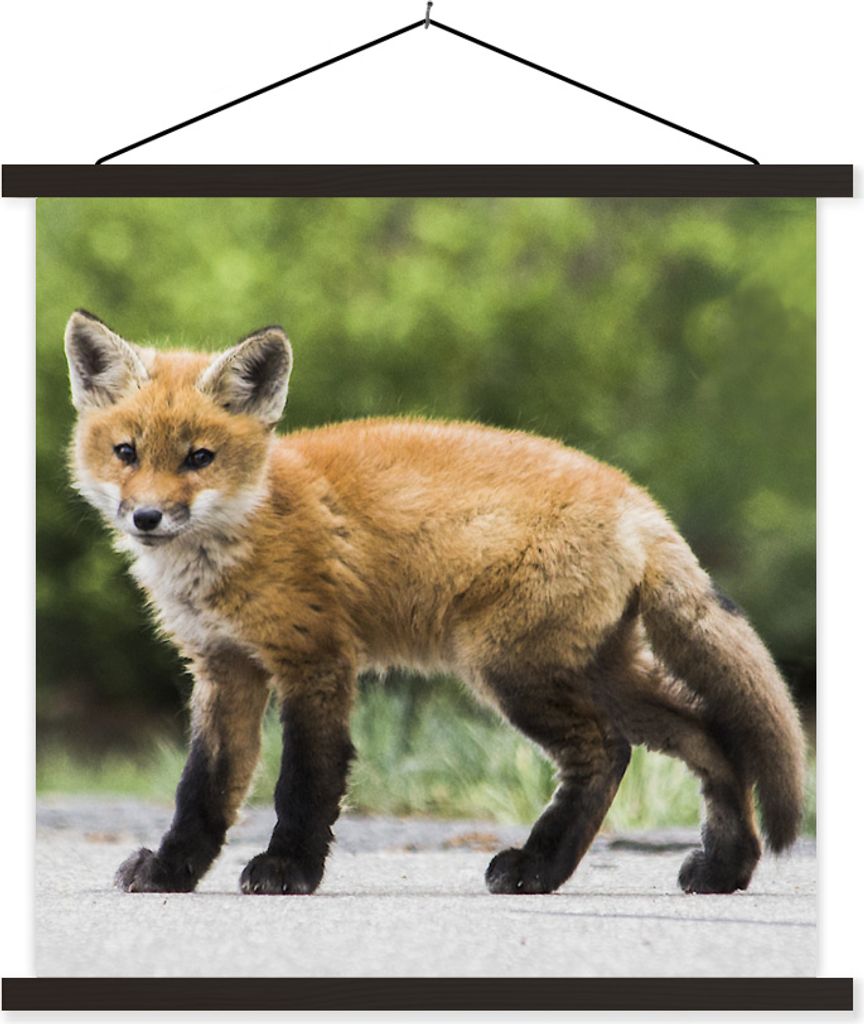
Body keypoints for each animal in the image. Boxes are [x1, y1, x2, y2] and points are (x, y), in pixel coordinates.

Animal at [62, 309, 807, 897]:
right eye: (126, 452)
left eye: (200, 458)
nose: (148, 517)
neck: (244, 532)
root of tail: (636, 498)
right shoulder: (225, 668)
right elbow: (203, 790)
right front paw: (171, 871)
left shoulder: (316, 660)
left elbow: (305, 782)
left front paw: (288, 869)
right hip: (597, 671)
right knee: (706, 736)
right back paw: (720, 866)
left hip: (511, 669)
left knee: (608, 751)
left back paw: (537, 867)